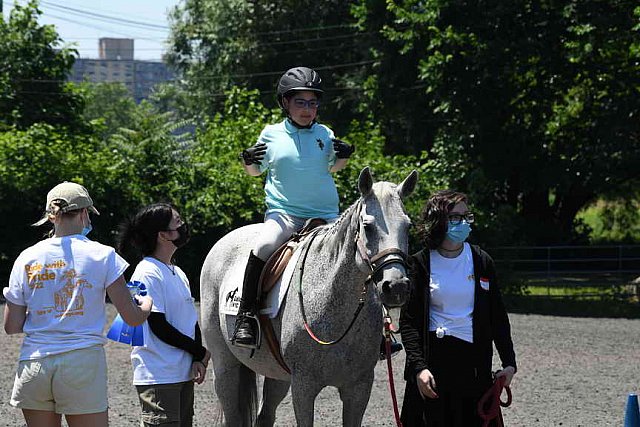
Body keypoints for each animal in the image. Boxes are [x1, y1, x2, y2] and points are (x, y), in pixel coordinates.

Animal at [202, 168, 418, 427]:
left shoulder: (358, 388)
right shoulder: (303, 387)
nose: (396, 286)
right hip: (226, 366)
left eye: (408, 227)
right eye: (368, 227)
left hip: (278, 375)